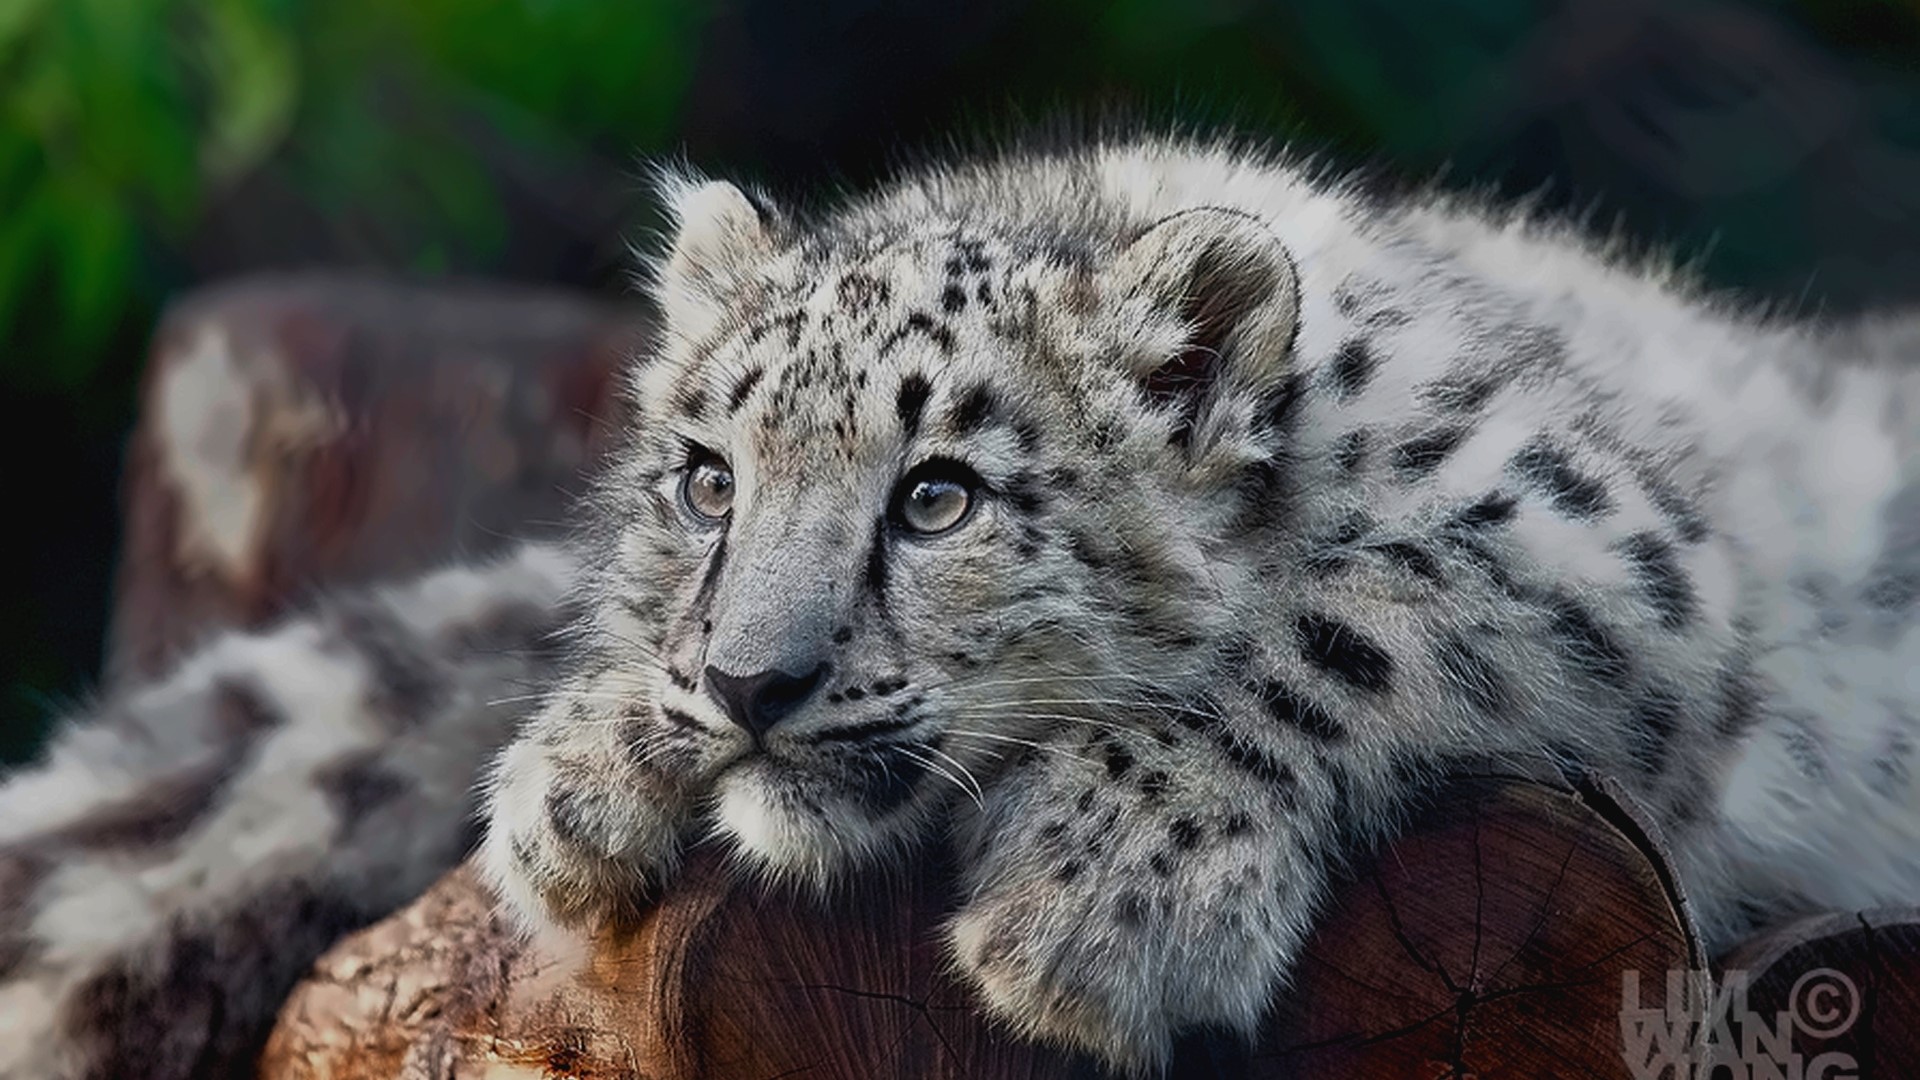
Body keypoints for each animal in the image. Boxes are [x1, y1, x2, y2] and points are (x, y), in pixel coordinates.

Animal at [3, 135, 1917, 1079]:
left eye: (941, 497)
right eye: (709, 478)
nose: (749, 684)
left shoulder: (1610, 542)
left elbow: (1354, 610)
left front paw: (1105, 900)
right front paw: (585, 772)